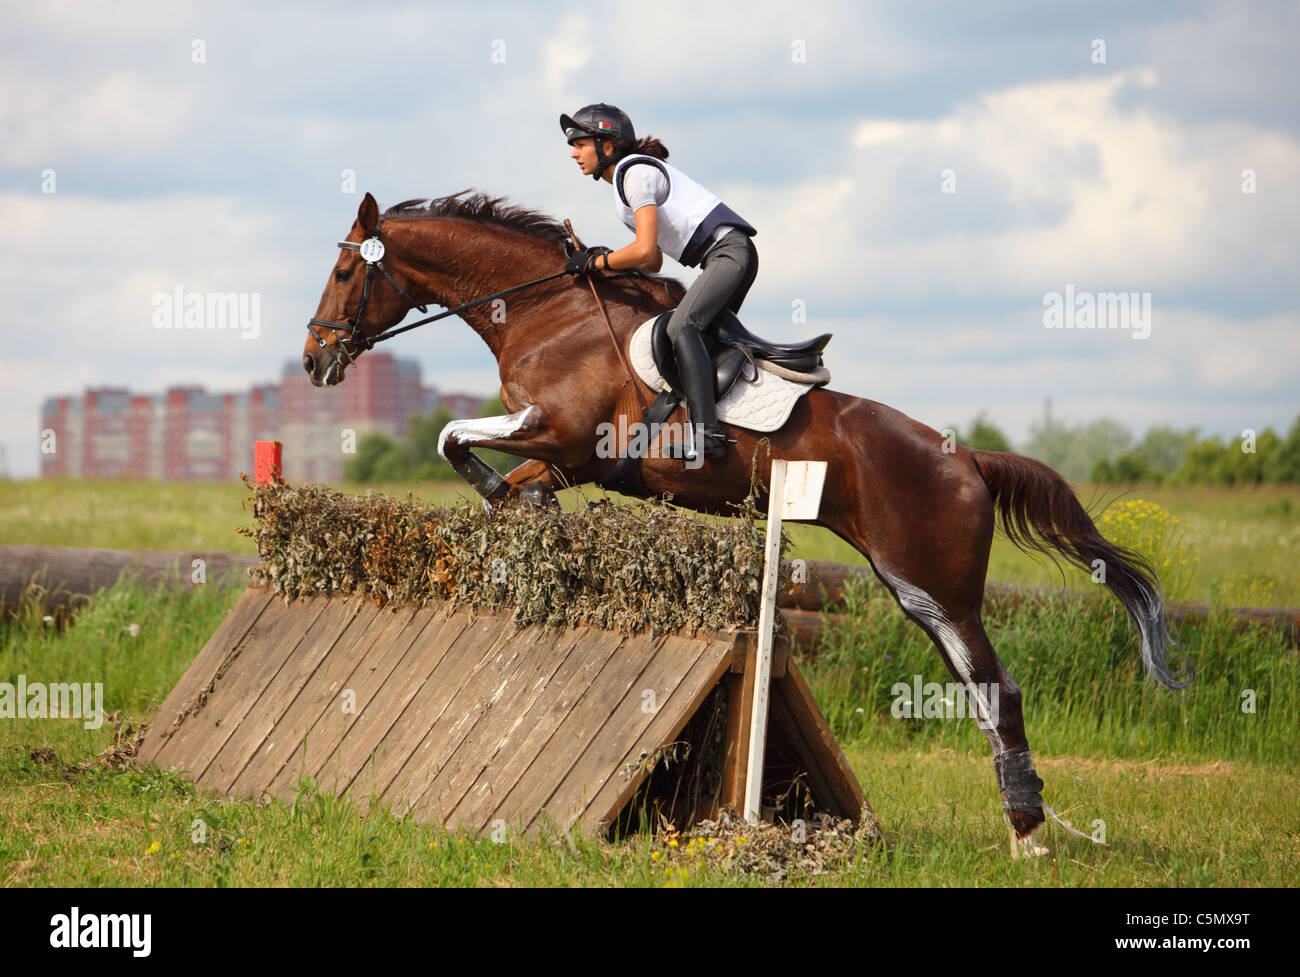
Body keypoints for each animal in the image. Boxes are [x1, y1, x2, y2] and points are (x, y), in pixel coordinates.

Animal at [302, 190, 1189, 857]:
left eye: (345, 270)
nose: (314, 360)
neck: (547, 310)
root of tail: (966, 455)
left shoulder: (560, 432)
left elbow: (453, 437)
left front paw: (502, 492)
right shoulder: (561, 454)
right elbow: (494, 470)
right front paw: (523, 508)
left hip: (932, 582)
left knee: (997, 690)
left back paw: (1029, 838)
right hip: (920, 592)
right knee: (980, 690)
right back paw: (1023, 825)